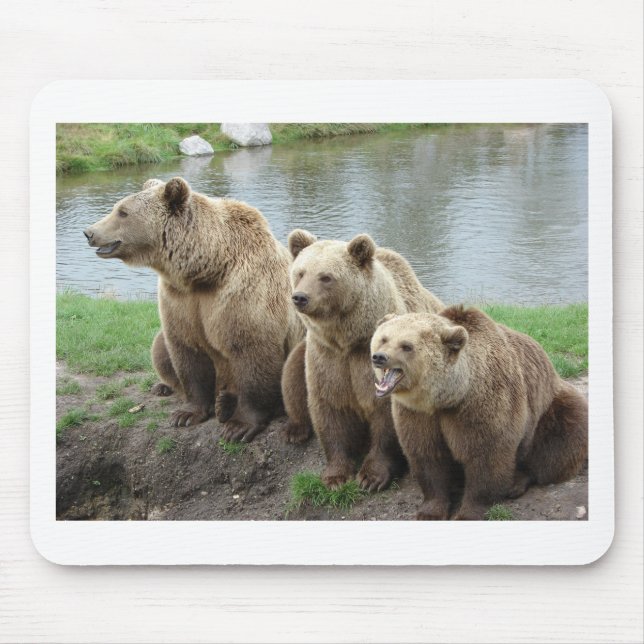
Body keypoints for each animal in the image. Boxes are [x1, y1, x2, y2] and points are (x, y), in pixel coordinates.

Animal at [84, 177, 304, 442]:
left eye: (122, 212)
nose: (89, 232)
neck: (206, 270)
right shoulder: (180, 300)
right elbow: (187, 352)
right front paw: (186, 414)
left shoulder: (244, 295)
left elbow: (252, 352)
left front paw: (239, 426)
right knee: (159, 347)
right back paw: (170, 388)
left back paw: (226, 403)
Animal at [282, 229, 444, 491]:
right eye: (300, 272)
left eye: (326, 277)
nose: (300, 297)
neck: (348, 339)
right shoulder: (327, 357)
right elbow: (330, 408)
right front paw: (336, 476)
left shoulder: (372, 362)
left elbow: (386, 417)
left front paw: (371, 477)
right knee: (291, 374)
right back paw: (294, 429)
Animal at [370, 306, 588, 520]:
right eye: (384, 339)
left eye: (407, 346)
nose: (379, 357)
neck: (446, 397)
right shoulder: (418, 414)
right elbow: (428, 456)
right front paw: (430, 511)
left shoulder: (482, 403)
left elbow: (486, 456)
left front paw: (468, 513)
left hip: (548, 409)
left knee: (559, 441)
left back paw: (516, 482)